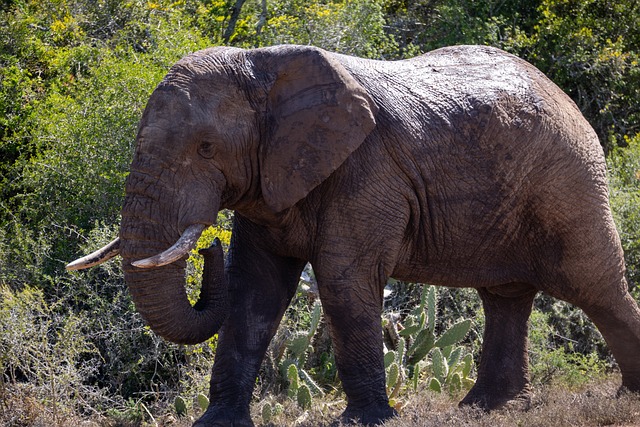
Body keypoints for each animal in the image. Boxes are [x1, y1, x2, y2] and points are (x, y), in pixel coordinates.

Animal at [67, 44, 640, 426]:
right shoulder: (273, 177)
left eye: (207, 148)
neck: (263, 69)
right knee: (505, 296)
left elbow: (343, 281)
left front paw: (365, 422)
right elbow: (254, 290)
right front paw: (217, 424)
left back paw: (623, 399)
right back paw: (487, 408)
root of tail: (564, 95)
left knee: (596, 286)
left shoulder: (367, 170)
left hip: (569, 178)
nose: (210, 244)